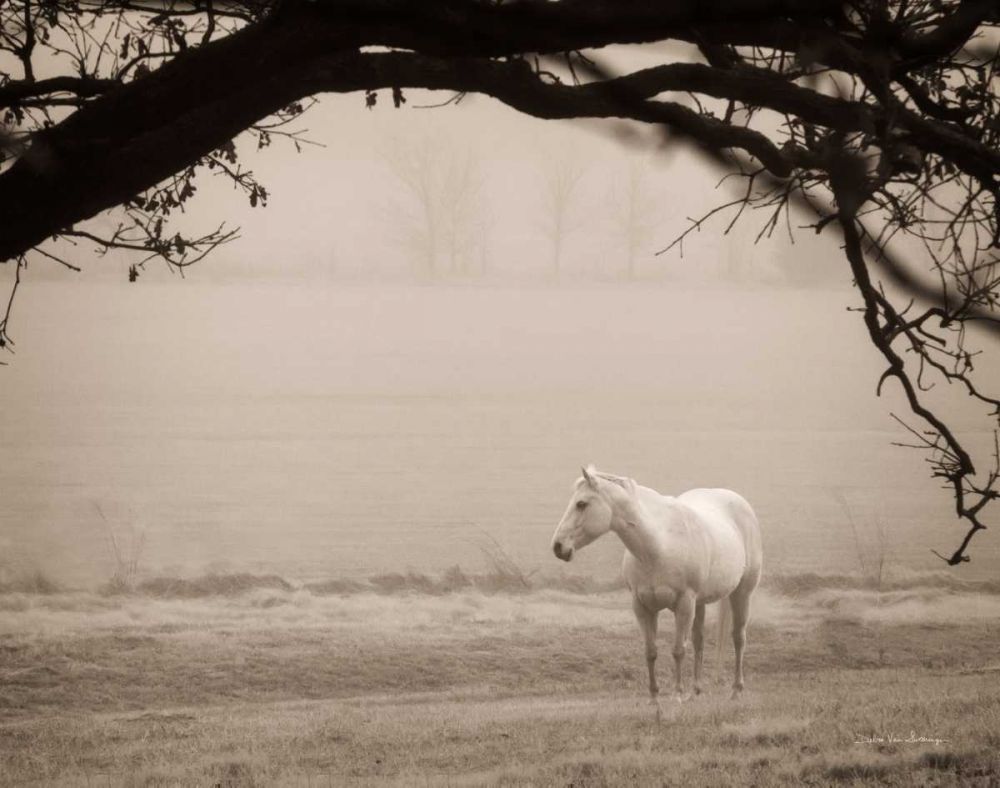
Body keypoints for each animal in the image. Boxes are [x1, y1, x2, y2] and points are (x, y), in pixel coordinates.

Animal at [550, 465, 763, 716]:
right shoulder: (643, 607)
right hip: (700, 603)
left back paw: (736, 691)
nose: (558, 547)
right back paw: (695, 692)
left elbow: (678, 650)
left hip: (741, 593)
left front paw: (677, 696)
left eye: (581, 504)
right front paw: (654, 699)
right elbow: (650, 652)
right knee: (699, 640)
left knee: (738, 638)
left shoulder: (684, 604)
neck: (658, 545)